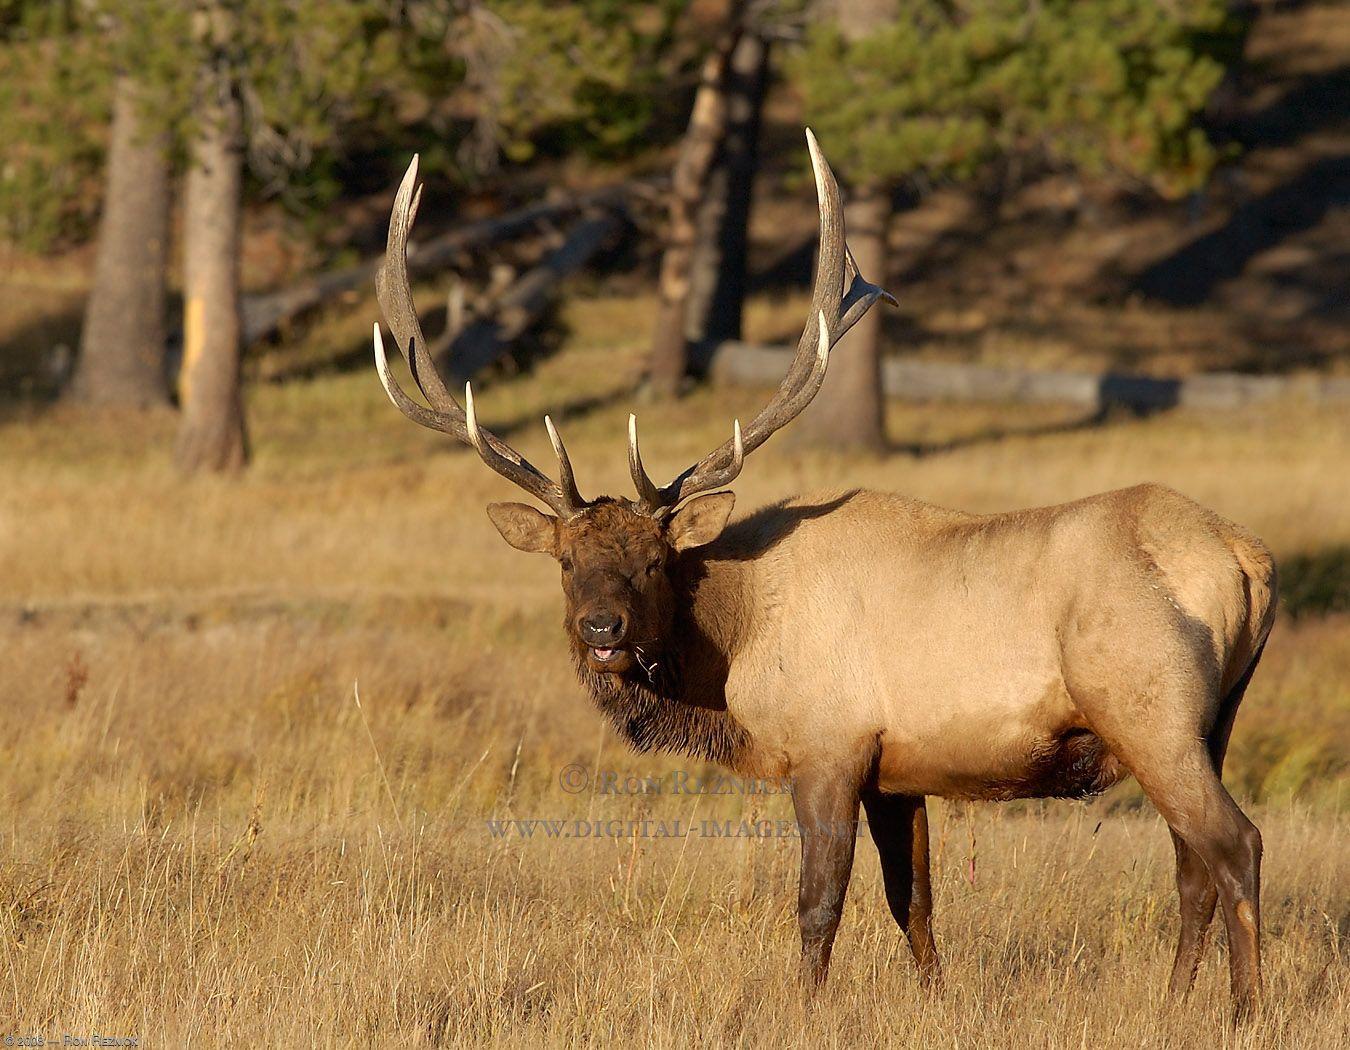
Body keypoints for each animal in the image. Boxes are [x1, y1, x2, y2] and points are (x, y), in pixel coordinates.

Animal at [370, 131, 1277, 1018]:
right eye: (567, 562)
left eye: (656, 560)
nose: (604, 630)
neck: (731, 651)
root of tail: (1247, 556)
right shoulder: (896, 771)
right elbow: (913, 900)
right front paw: (935, 1003)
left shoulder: (828, 744)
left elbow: (818, 905)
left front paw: (802, 1010)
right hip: (1213, 719)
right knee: (1192, 865)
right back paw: (1173, 1003)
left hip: (1148, 708)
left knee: (1235, 843)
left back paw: (1246, 1009)